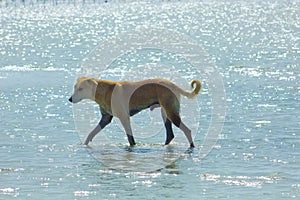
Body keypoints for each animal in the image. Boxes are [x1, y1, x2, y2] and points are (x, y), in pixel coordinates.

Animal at [69, 76, 202, 148]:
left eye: (81, 89)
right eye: (75, 87)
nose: (70, 99)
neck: (105, 91)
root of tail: (174, 85)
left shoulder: (124, 118)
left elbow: (130, 139)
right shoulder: (105, 119)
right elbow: (91, 133)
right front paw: (85, 144)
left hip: (171, 113)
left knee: (187, 130)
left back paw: (192, 147)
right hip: (165, 113)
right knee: (170, 135)